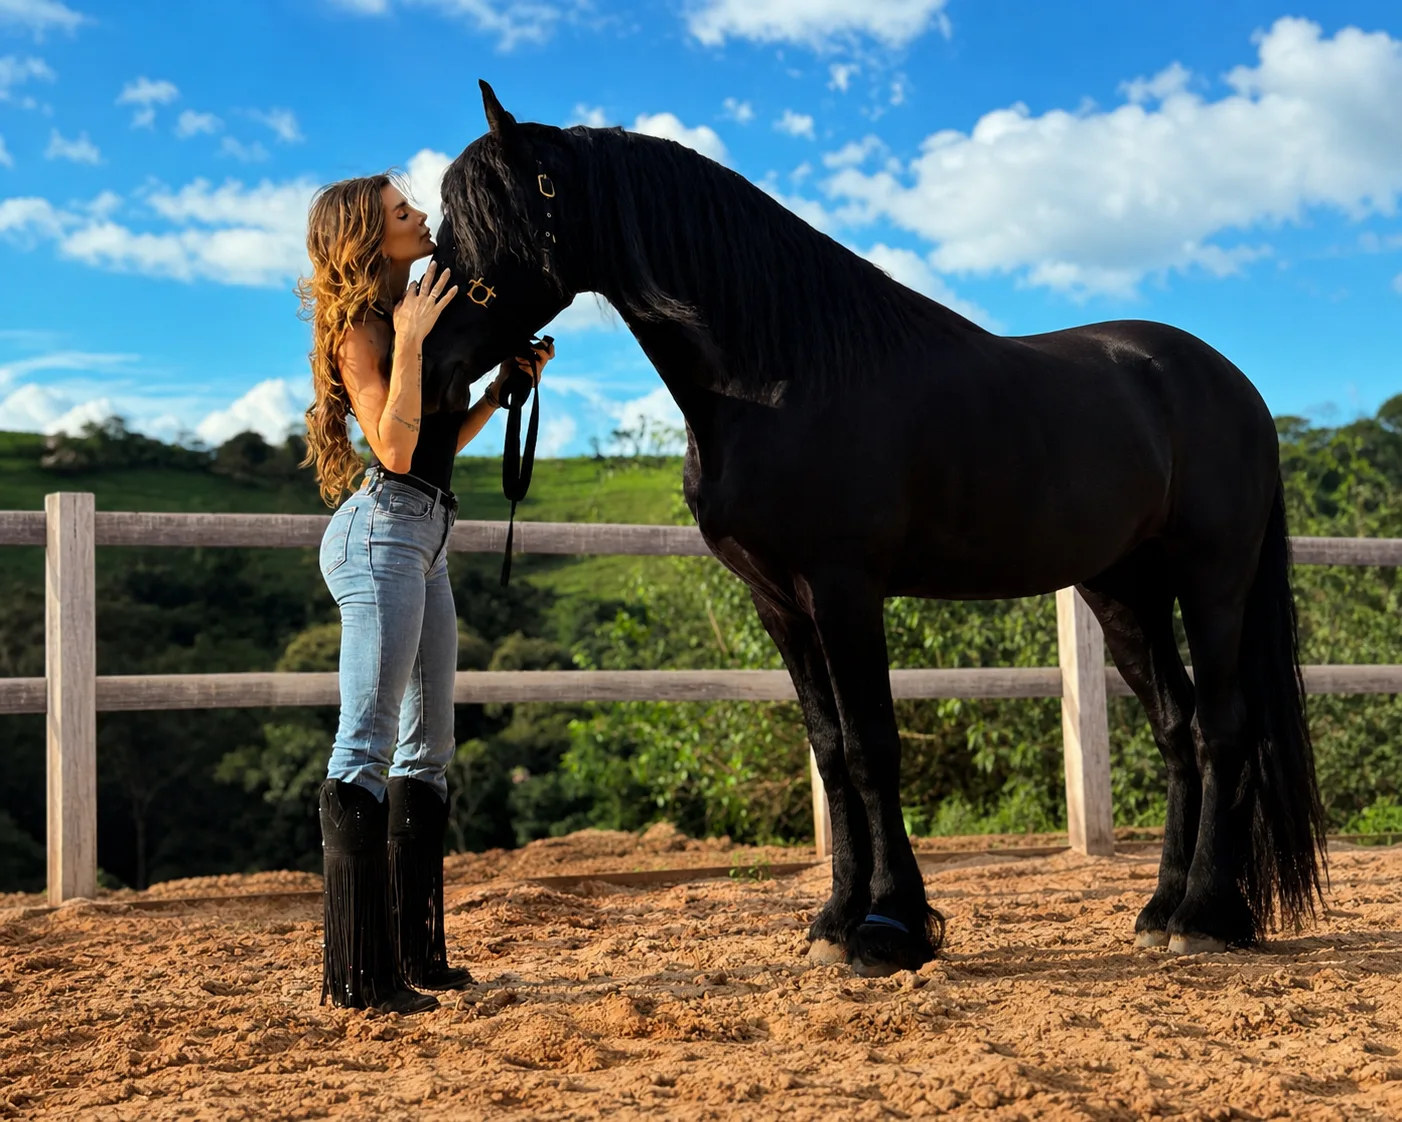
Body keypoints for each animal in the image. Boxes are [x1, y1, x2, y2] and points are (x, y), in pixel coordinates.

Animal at [419, 81, 1328, 977]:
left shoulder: (844, 589)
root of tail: (1230, 386)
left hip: (1212, 579)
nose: (424, 358)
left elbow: (871, 746)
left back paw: (1206, 917)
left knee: (1220, 727)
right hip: (1121, 588)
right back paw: (1159, 910)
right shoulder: (779, 602)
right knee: (1176, 728)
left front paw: (889, 928)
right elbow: (829, 751)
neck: (779, 377)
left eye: (486, 217)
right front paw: (836, 920)